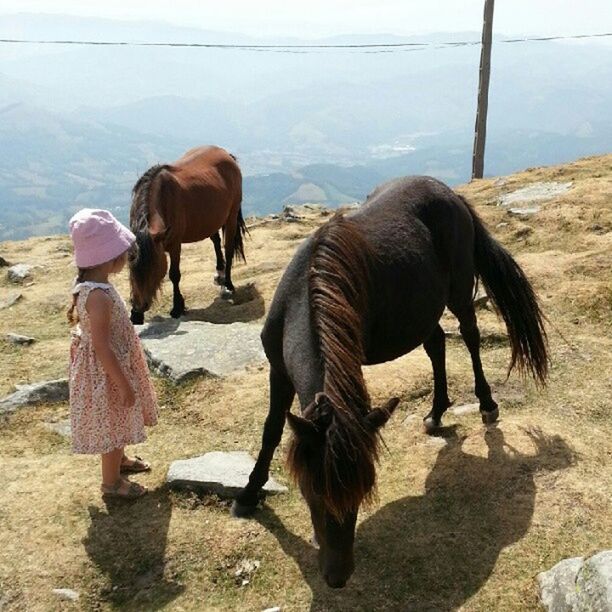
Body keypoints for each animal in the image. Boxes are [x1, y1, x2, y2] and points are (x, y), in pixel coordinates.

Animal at [129, 146, 246, 326]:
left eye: (154, 267)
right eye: (130, 267)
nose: (138, 308)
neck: (163, 198)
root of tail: (226, 154)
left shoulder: (175, 245)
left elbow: (174, 275)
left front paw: (177, 307)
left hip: (231, 216)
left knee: (228, 248)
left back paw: (228, 284)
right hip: (211, 218)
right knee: (216, 241)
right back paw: (219, 272)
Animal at [232, 176, 548, 588]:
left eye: (365, 487)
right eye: (310, 491)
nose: (338, 576)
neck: (306, 293)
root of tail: (448, 193)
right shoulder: (278, 370)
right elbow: (270, 431)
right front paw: (248, 494)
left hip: (460, 291)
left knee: (470, 335)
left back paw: (487, 404)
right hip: (422, 310)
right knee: (437, 344)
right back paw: (436, 412)